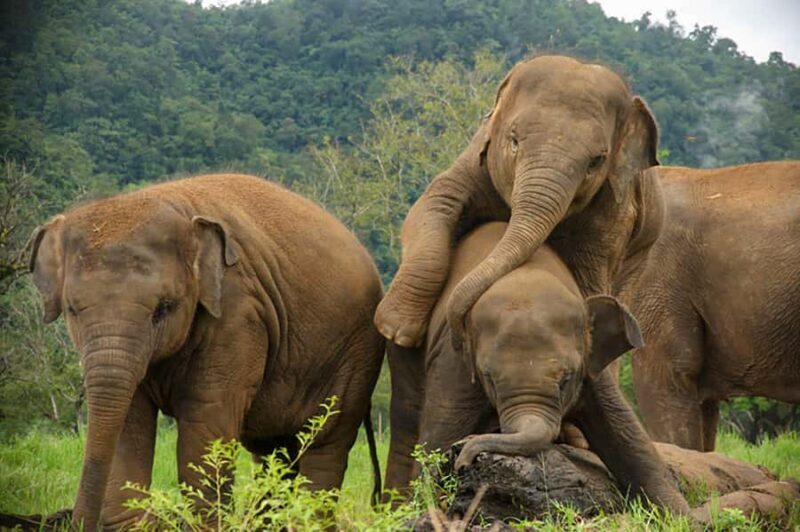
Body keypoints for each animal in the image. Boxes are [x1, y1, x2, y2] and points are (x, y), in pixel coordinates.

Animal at [28, 173, 385, 530]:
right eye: (72, 310)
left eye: (164, 308)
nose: (76, 521)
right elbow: (129, 417)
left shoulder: (238, 313)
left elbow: (206, 417)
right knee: (273, 451)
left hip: (355, 355)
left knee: (326, 443)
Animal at [374, 54, 661, 351]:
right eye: (513, 140)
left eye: (596, 161)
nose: (459, 338)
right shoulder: (477, 158)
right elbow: (436, 201)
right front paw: (395, 331)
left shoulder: (613, 210)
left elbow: (588, 275)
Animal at [384, 222, 690, 515]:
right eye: (489, 379)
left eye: (566, 379)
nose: (463, 459)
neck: (526, 278)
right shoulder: (454, 363)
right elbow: (438, 436)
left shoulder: (591, 369)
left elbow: (627, 437)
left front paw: (681, 514)